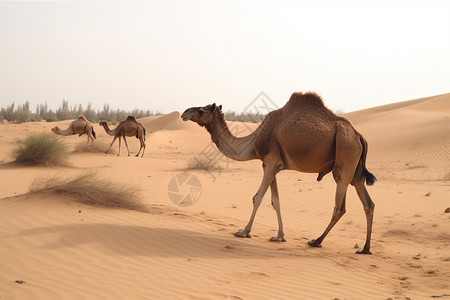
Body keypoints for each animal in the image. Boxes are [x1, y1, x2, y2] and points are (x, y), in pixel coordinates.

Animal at [182, 91, 376, 253]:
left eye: (201, 110)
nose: (184, 113)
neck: (253, 141)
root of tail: (360, 137)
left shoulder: (270, 161)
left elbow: (257, 197)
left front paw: (244, 231)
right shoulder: (272, 165)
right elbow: (276, 200)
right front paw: (279, 236)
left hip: (345, 156)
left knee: (340, 205)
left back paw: (316, 241)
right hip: (355, 171)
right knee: (368, 203)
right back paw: (365, 248)